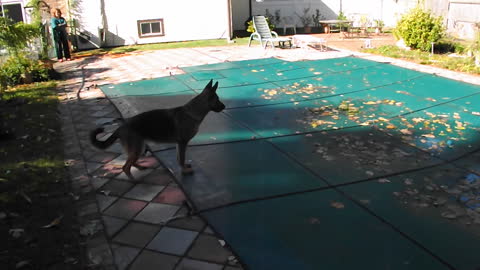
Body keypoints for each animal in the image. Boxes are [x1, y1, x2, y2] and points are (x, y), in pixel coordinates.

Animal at [90, 79, 225, 178]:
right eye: (217, 100)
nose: (224, 107)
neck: (191, 112)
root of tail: (121, 127)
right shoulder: (182, 143)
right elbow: (181, 159)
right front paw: (184, 171)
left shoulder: (179, 144)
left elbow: (179, 158)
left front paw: (183, 168)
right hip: (138, 148)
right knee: (125, 167)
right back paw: (133, 179)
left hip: (139, 148)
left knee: (130, 162)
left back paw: (139, 167)